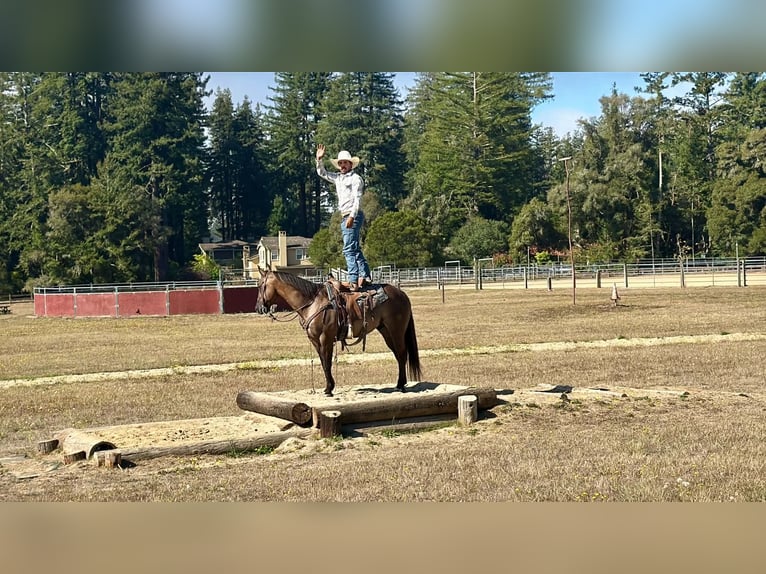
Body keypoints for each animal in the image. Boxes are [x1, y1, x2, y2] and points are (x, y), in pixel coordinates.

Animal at [256, 268, 421, 396]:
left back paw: (401, 385)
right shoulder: (315, 340)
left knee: (401, 353)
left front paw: (329, 389)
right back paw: (399, 384)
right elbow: (323, 362)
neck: (312, 303)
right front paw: (328, 388)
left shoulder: (326, 338)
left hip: (396, 330)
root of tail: (402, 293)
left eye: (260, 285)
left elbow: (327, 362)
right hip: (386, 331)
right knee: (398, 354)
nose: (258, 308)